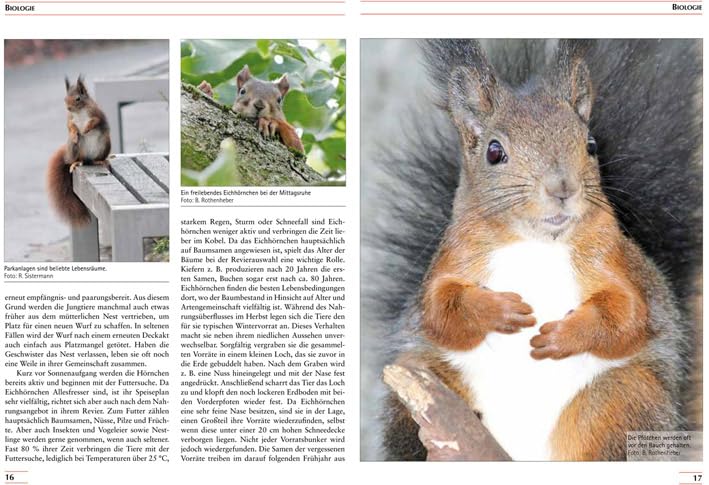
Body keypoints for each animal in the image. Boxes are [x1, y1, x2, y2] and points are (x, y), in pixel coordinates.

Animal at [47, 75, 111, 226]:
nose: (68, 108)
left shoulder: (97, 113)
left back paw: (101, 161)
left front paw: (87, 128)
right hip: (76, 150)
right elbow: (70, 126)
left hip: (105, 143)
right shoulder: (70, 119)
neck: (80, 112)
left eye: (78, 98)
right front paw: (75, 133)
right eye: (65, 98)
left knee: (96, 159)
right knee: (80, 159)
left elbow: (96, 121)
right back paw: (76, 162)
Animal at [366, 40, 702, 461]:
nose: (562, 188)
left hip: (624, 399)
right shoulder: (453, 258)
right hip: (422, 381)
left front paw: (563, 336)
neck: (534, 243)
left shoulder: (615, 260)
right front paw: (497, 310)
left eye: (590, 145)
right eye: (494, 152)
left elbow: (627, 315)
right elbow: (440, 309)